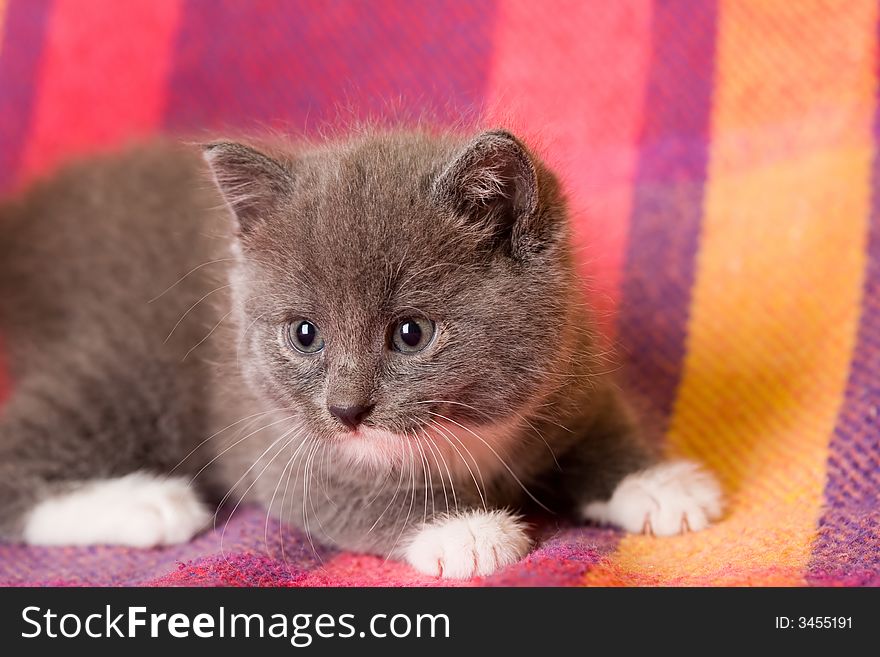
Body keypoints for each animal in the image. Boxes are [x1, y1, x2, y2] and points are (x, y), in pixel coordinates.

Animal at [0, 129, 720, 580]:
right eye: (304, 334)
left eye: (410, 333)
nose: (347, 410)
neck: (465, 431)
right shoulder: (277, 439)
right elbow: (352, 497)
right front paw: (462, 530)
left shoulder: (570, 364)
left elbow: (600, 427)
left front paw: (656, 484)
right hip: (129, 361)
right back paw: (149, 503)